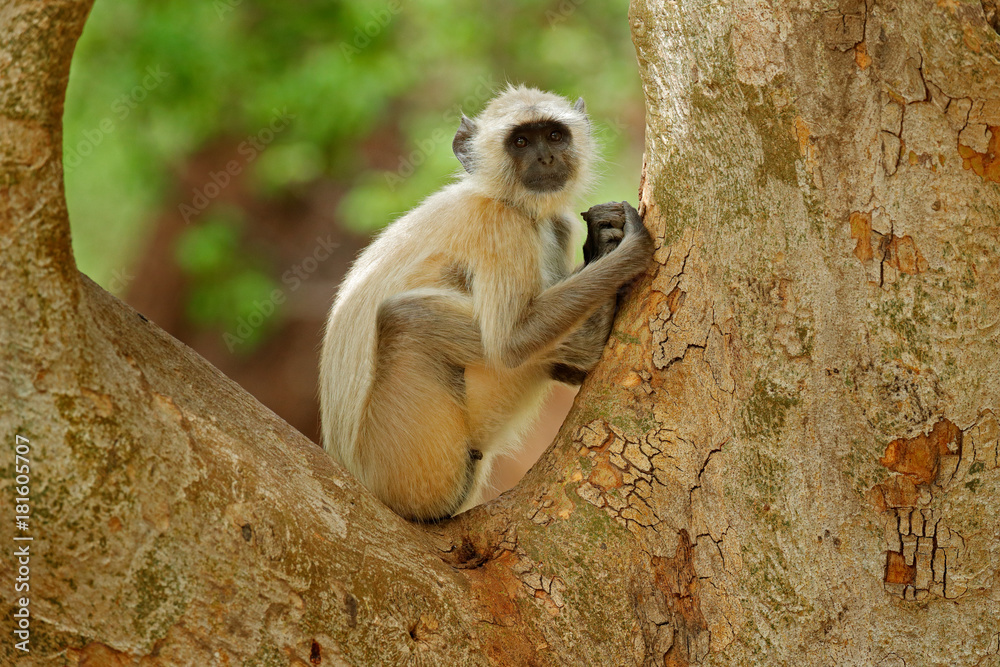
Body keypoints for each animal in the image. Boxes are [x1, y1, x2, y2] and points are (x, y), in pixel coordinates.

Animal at [319, 85, 653, 521]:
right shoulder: (499, 224)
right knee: (406, 316)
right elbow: (508, 344)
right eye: (521, 142)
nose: (546, 158)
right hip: (400, 463)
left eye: (555, 136)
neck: (507, 201)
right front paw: (629, 251)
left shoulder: (558, 225)